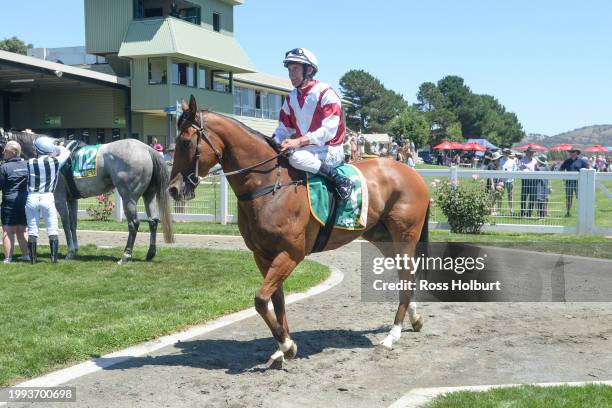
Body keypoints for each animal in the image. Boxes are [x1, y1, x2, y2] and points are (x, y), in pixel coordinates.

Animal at [2, 131, 175, 264]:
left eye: (1, 144)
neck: (48, 154)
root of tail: (147, 148)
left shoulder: (59, 198)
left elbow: (65, 223)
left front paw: (70, 252)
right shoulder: (72, 199)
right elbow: (73, 224)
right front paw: (75, 249)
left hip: (128, 197)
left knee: (134, 223)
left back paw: (125, 256)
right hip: (148, 195)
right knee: (153, 221)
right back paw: (150, 253)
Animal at [169, 96, 430, 366]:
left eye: (185, 142)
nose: (173, 189)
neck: (269, 187)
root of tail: (412, 173)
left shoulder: (291, 253)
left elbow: (261, 300)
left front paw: (287, 344)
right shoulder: (263, 255)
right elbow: (276, 299)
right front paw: (282, 347)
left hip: (405, 236)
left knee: (407, 277)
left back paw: (392, 335)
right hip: (383, 237)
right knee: (407, 276)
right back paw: (414, 319)